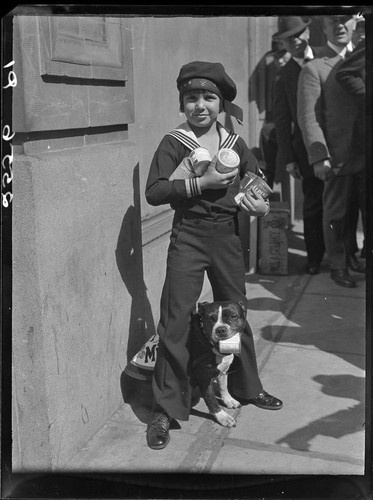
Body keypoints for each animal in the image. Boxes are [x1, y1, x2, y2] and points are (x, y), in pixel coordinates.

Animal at [190, 298, 246, 428]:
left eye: (233, 316)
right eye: (211, 318)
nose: (220, 330)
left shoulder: (223, 370)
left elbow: (223, 386)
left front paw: (228, 400)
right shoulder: (204, 378)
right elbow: (211, 398)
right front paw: (222, 417)